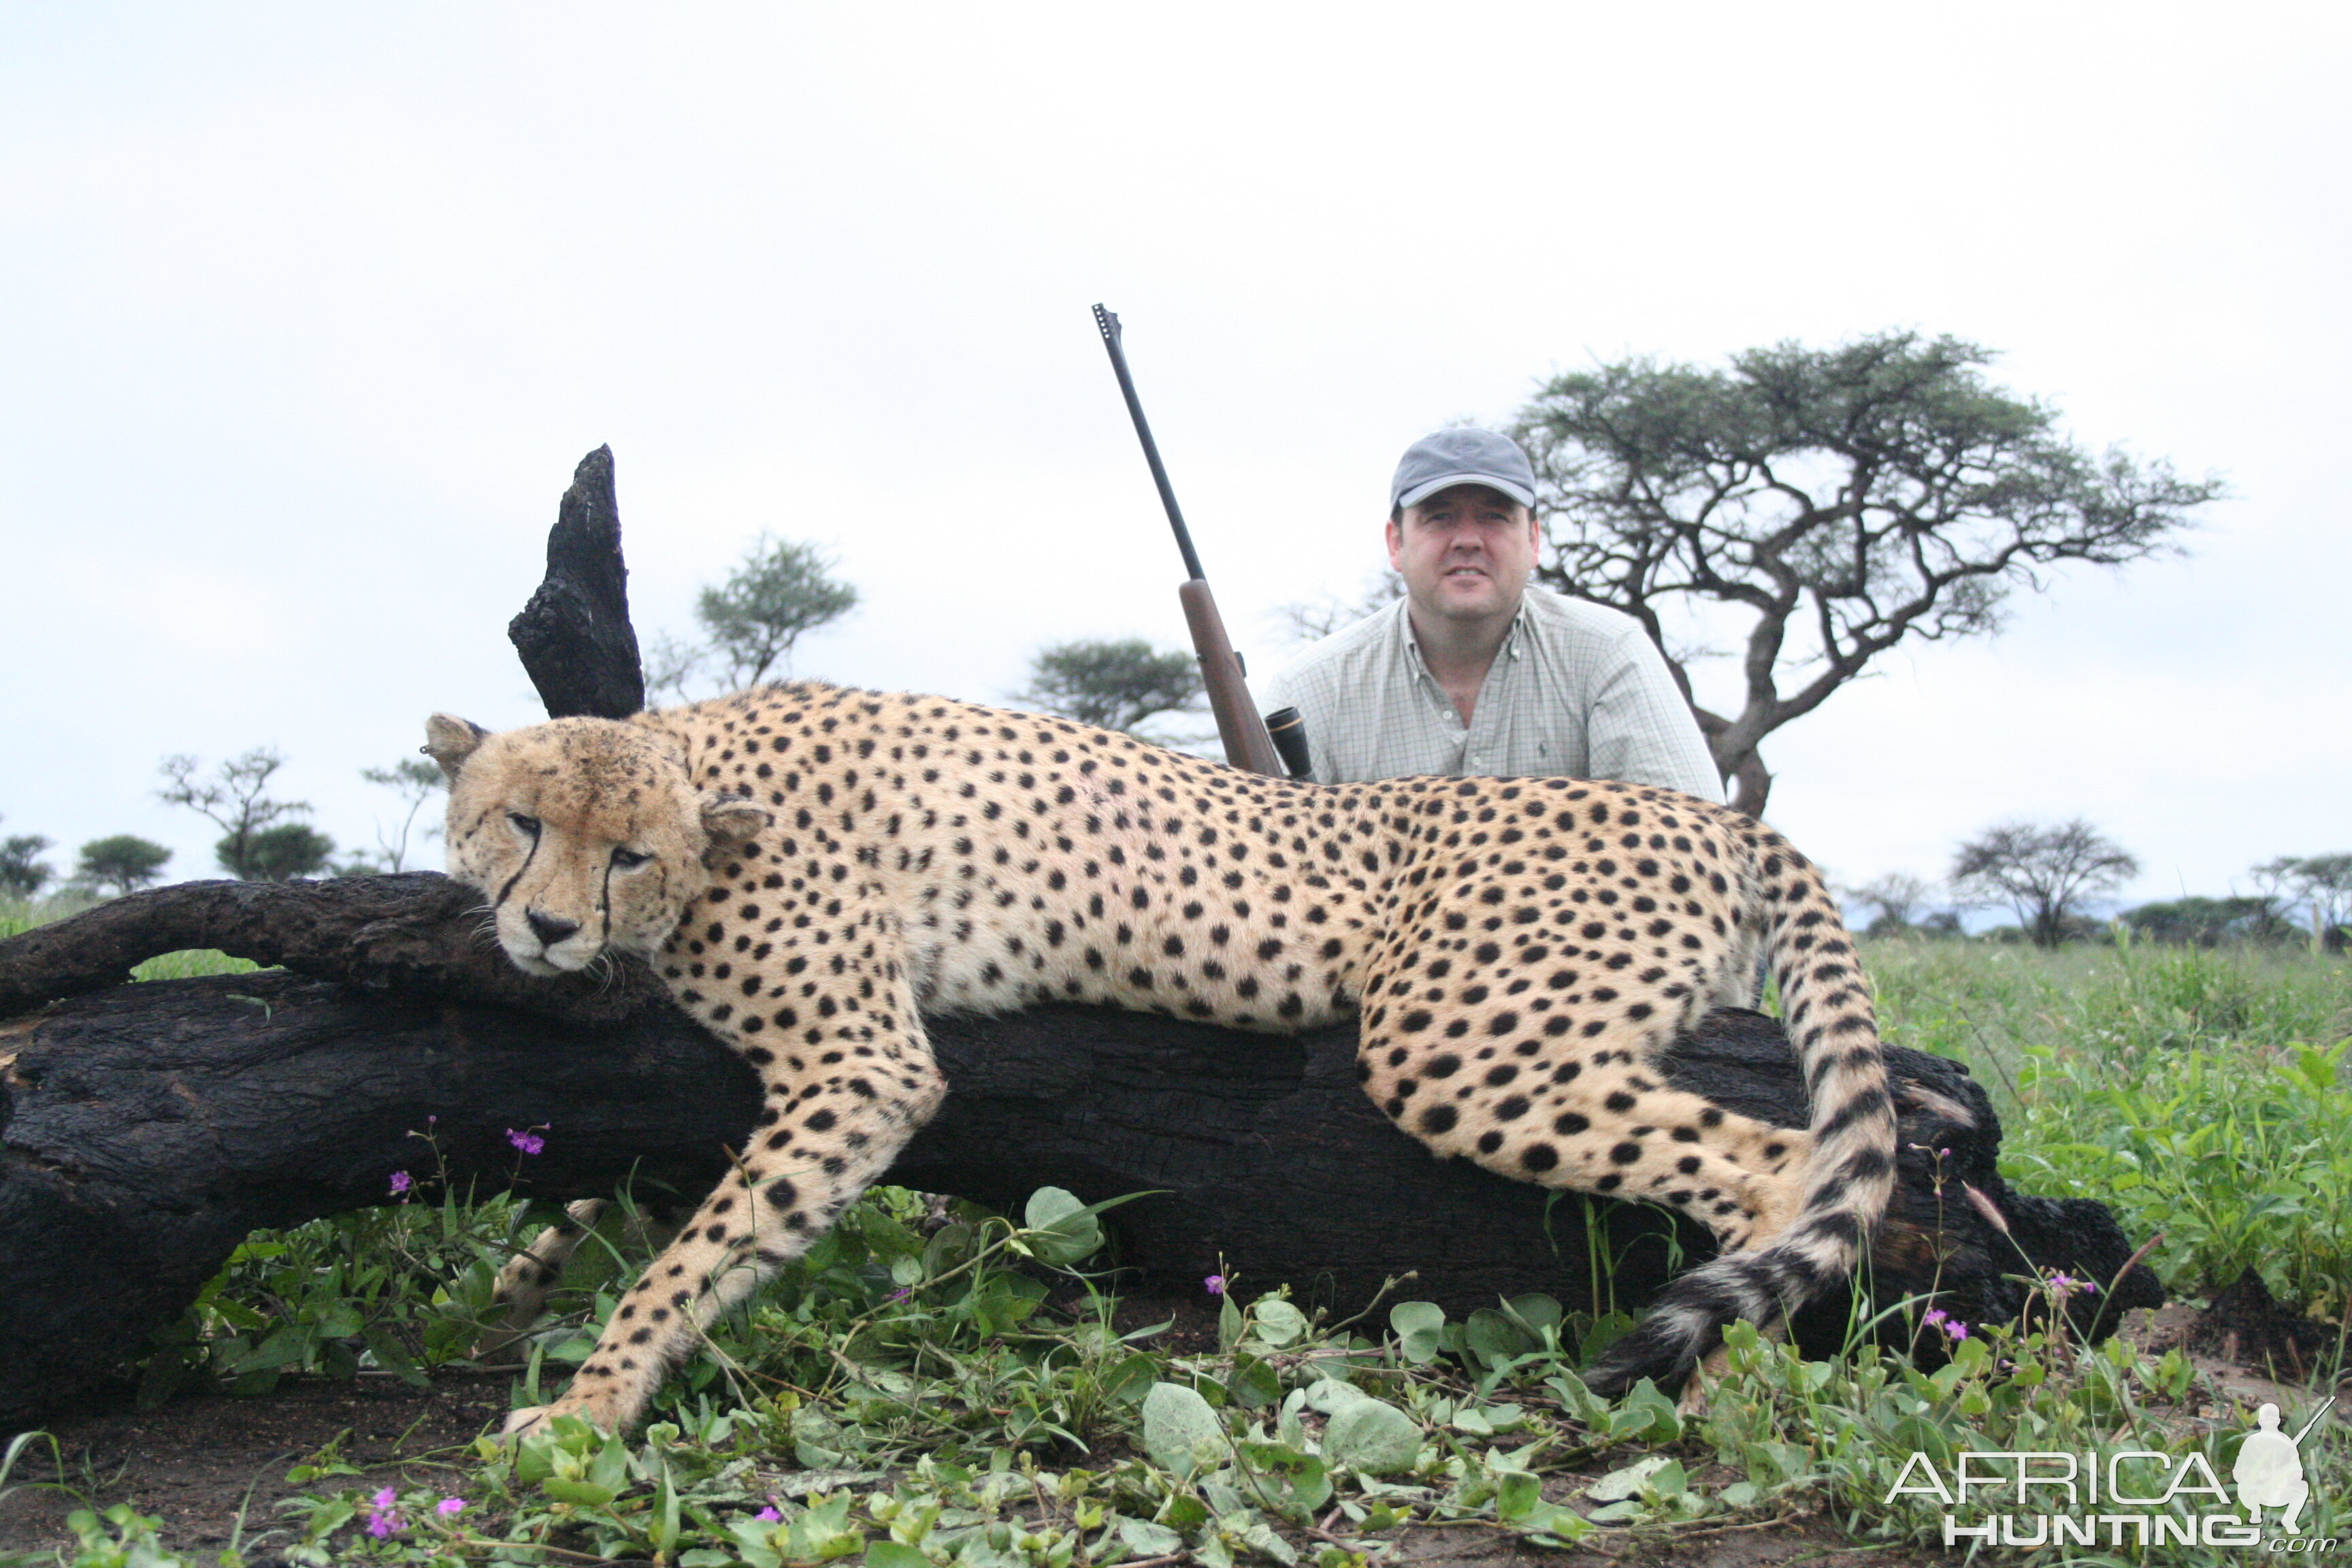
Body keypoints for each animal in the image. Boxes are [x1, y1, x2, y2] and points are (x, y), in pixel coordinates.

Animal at [423, 681, 1891, 1439]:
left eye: (628, 853)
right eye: (520, 822)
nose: (548, 928)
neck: (706, 757)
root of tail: (1712, 810)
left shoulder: (861, 1061)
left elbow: (695, 1255)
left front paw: (587, 1404)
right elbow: (616, 1194)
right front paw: (514, 1279)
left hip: (1455, 1042)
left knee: (1780, 1163)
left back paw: (1722, 1385)